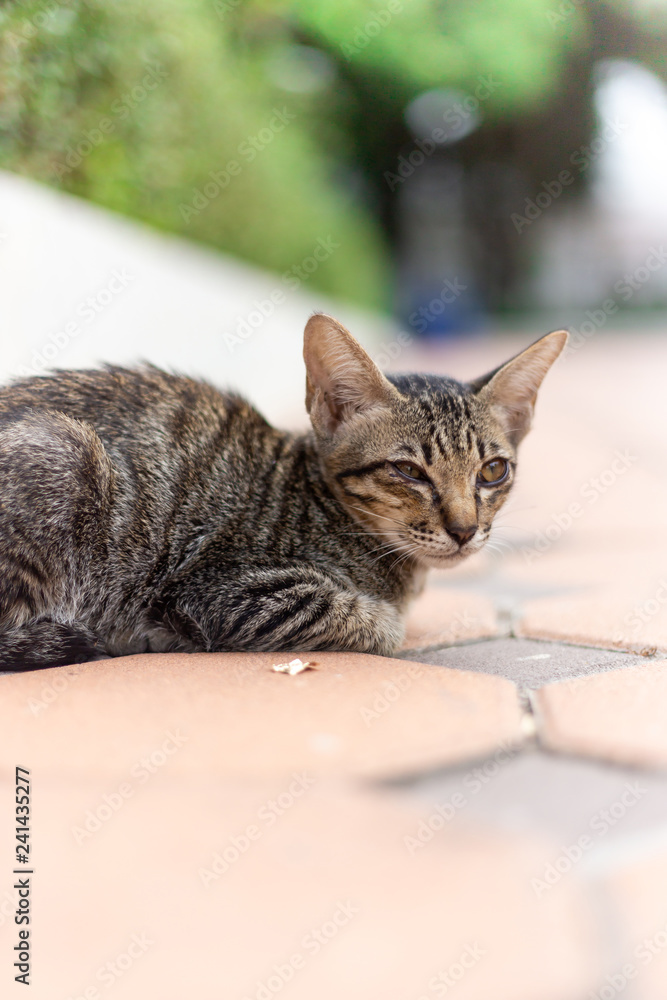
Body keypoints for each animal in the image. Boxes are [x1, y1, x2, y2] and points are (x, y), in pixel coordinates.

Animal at [0, 316, 568, 668]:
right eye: (409, 471)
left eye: (492, 471)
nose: (465, 530)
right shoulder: (217, 589)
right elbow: (378, 622)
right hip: (62, 450)